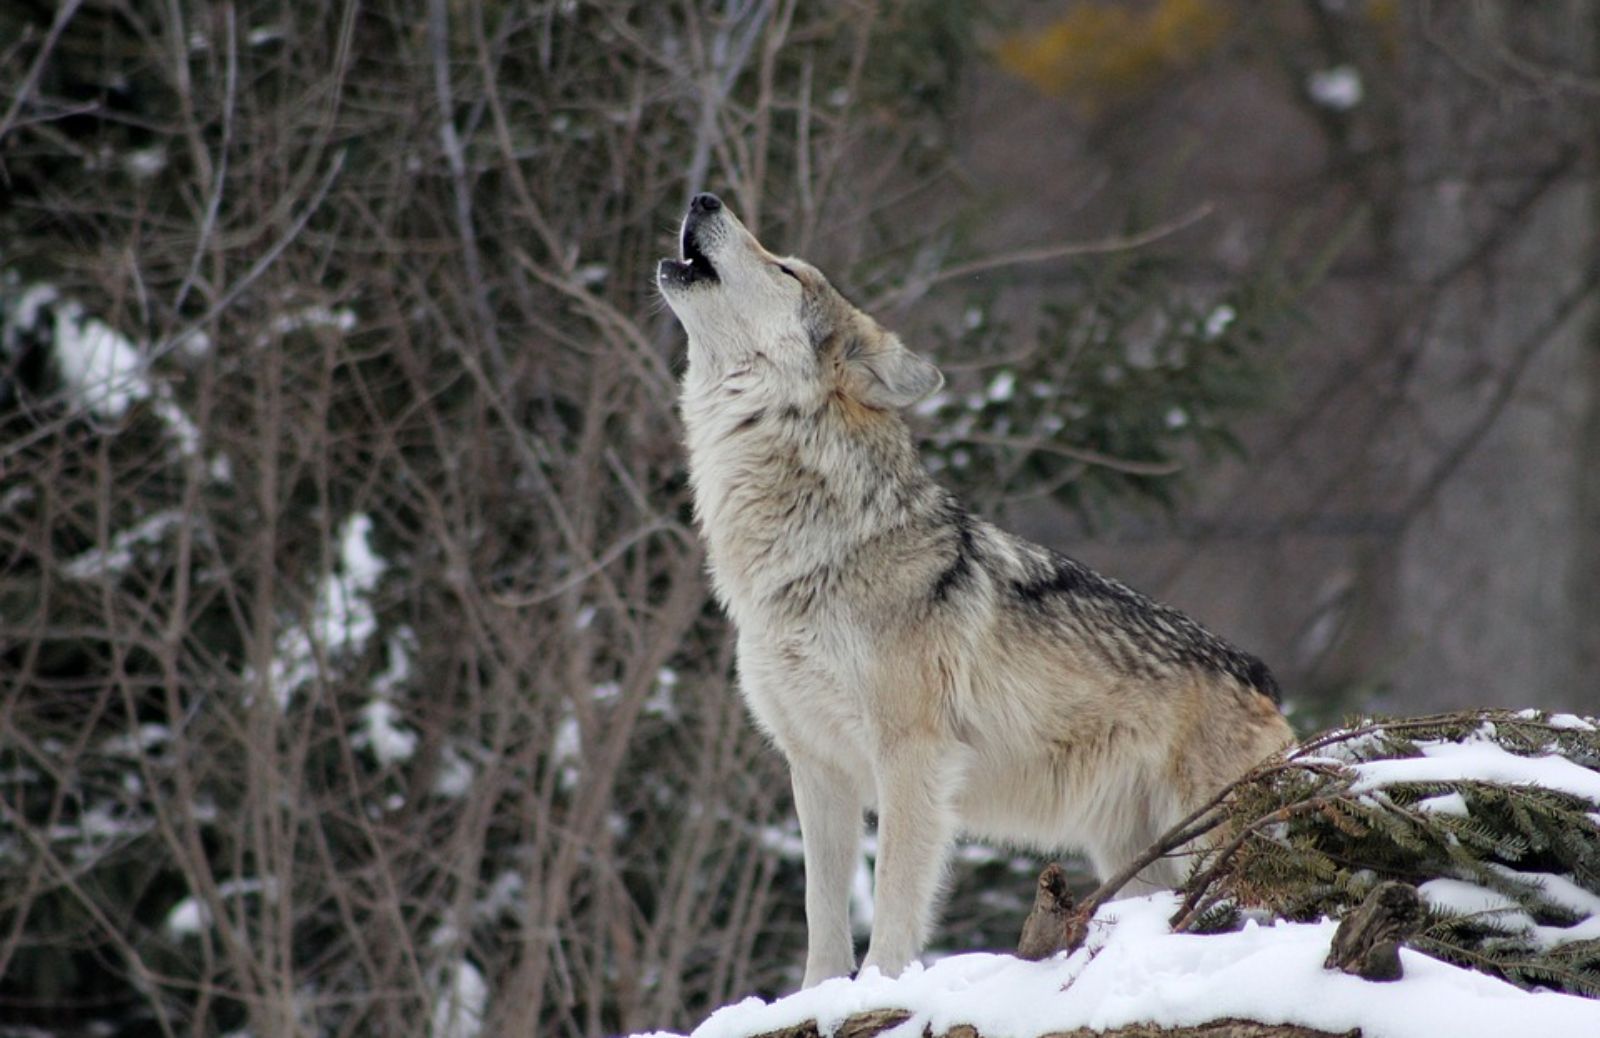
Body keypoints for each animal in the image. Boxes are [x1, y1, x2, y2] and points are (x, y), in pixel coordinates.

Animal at [656, 190, 1292, 985]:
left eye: (787, 269)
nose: (703, 197)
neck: (811, 553)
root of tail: (1262, 676)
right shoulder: (817, 767)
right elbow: (821, 917)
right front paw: (818, 996)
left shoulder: (912, 757)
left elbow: (894, 900)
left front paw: (878, 989)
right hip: (1136, 857)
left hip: (1208, 840)